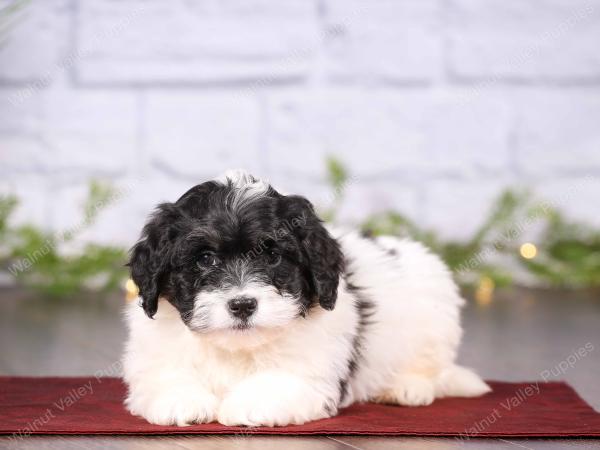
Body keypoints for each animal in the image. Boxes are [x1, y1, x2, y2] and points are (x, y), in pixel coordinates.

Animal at [123, 171, 492, 428]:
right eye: (205, 259)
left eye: (273, 257)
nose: (242, 305)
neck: (238, 349)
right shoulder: (154, 350)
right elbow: (166, 373)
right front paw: (181, 399)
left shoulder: (312, 367)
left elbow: (282, 379)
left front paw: (250, 402)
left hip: (434, 316)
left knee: (430, 367)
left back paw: (406, 388)